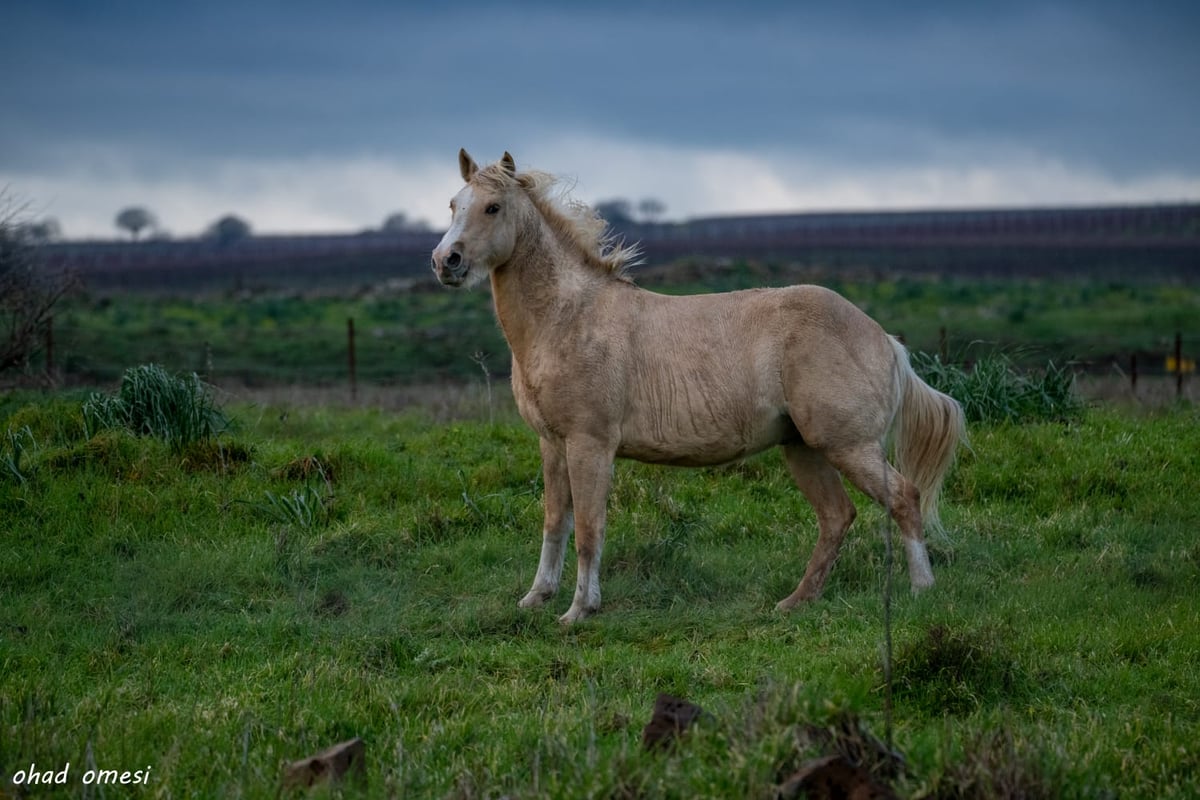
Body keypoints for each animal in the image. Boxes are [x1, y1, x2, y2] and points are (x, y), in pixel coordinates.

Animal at [432, 149, 964, 623]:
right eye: (454, 204)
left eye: (493, 207)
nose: (445, 261)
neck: (569, 318)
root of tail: (885, 340)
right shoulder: (552, 443)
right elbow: (554, 522)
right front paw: (536, 597)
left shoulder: (590, 444)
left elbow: (588, 528)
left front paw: (580, 610)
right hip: (805, 448)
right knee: (836, 517)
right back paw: (795, 603)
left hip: (849, 446)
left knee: (904, 498)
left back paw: (922, 589)